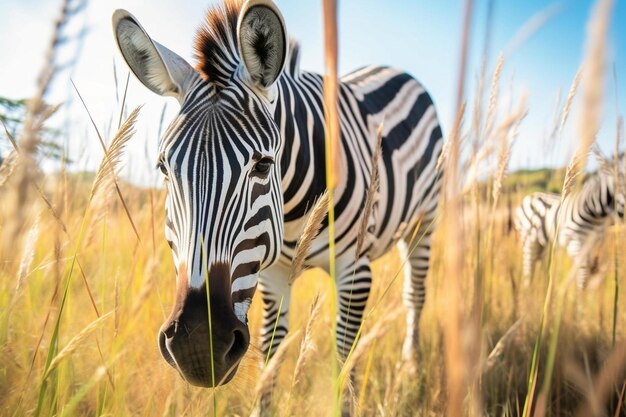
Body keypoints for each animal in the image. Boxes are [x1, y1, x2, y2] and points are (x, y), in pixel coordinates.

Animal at [112, 0, 444, 386]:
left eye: (263, 165)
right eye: (164, 168)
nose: (197, 347)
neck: (293, 216)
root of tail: (393, 69)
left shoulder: (354, 271)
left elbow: (345, 359)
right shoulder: (271, 276)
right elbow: (271, 354)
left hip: (424, 223)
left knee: (414, 295)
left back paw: (411, 366)